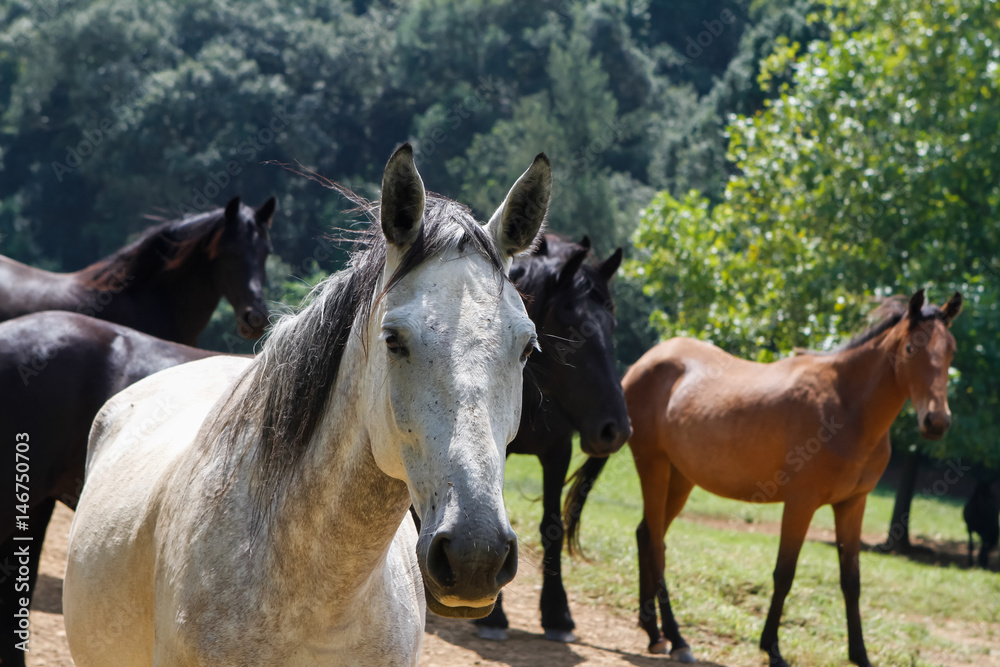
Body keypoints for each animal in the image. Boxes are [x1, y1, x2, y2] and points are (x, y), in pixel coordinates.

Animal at [474, 234, 631, 642]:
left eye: (612, 323)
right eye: (571, 323)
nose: (616, 430)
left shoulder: (558, 452)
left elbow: (553, 528)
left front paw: (557, 612)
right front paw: (492, 616)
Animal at [563, 289, 962, 667]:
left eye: (951, 351)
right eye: (911, 348)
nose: (937, 421)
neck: (846, 405)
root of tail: (645, 363)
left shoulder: (853, 505)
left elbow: (851, 581)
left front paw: (860, 656)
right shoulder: (801, 504)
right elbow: (784, 574)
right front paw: (772, 649)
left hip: (681, 478)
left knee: (647, 535)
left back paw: (654, 633)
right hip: (654, 467)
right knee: (656, 545)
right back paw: (676, 639)